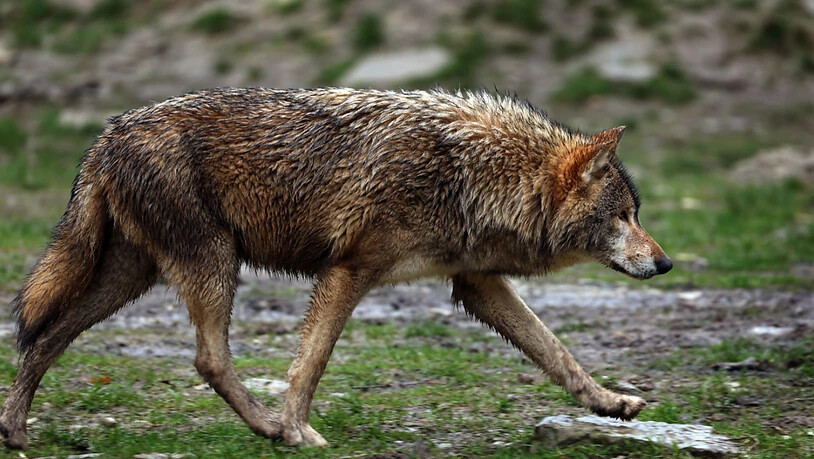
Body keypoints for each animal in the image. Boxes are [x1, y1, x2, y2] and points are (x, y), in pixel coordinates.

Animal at [0, 88, 671, 449]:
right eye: (625, 216)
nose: (665, 263)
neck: (473, 174)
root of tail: (106, 134)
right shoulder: (349, 271)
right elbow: (311, 364)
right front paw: (298, 431)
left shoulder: (476, 284)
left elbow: (557, 352)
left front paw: (611, 403)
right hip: (213, 265)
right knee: (208, 359)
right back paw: (269, 429)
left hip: (133, 277)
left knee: (45, 337)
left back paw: (16, 432)